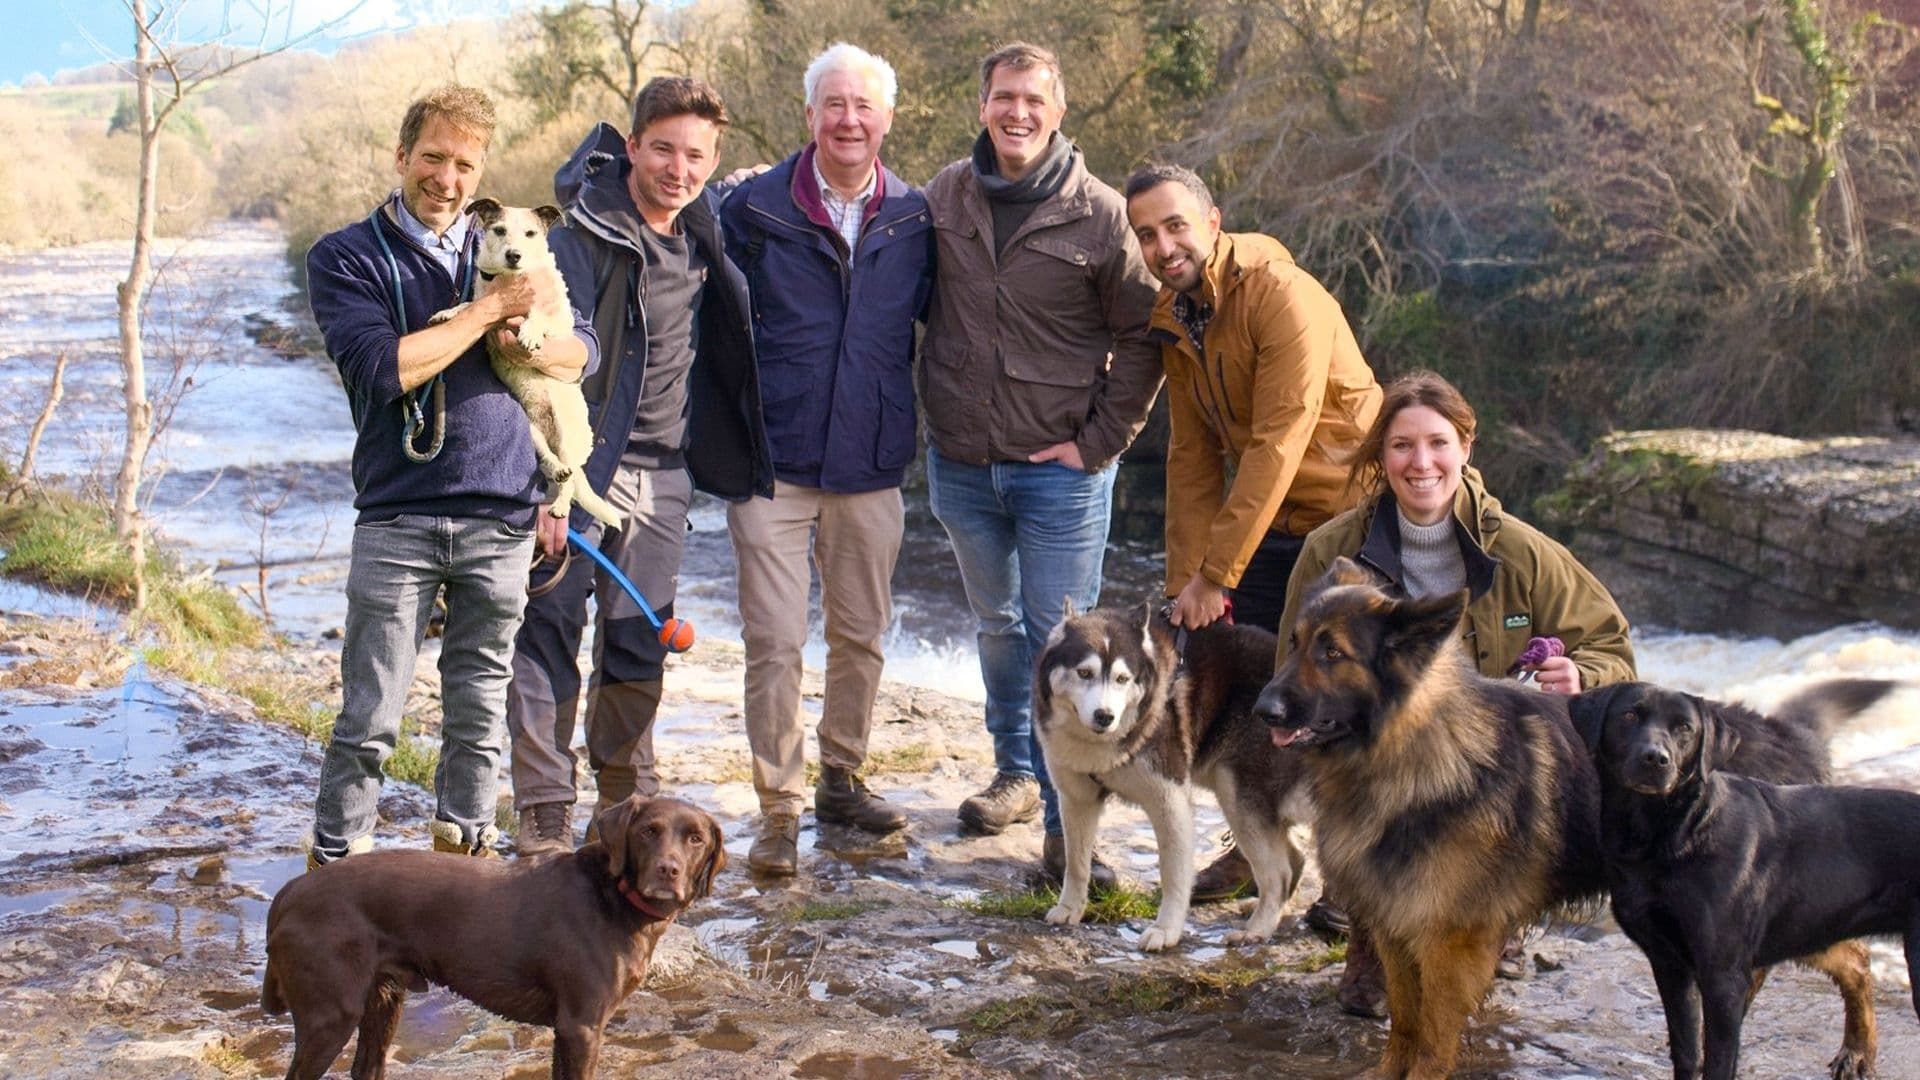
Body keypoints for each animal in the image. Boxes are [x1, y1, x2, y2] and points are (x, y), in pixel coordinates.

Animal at [432, 199, 618, 526]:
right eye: (499, 230)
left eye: (531, 233)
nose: (514, 255)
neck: (510, 279)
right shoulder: (488, 319)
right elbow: (470, 306)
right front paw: (448, 313)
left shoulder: (558, 321)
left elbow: (538, 315)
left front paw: (530, 332)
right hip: (532, 432)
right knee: (553, 464)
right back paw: (557, 470)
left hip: (566, 433)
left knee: (570, 483)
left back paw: (560, 506)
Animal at [1036, 595, 1320, 949]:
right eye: (1084, 673)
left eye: (1122, 679)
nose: (1104, 716)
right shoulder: (1077, 798)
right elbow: (1075, 863)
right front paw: (1070, 908)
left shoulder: (1170, 800)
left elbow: (1173, 873)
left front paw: (1166, 929)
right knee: (1295, 859)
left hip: (1237, 792)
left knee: (1279, 871)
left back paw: (1257, 929)